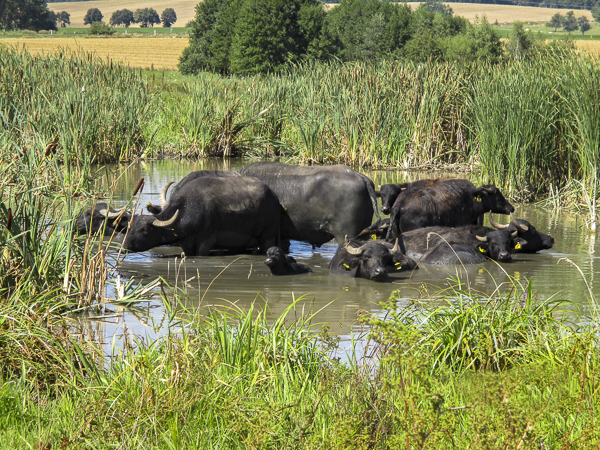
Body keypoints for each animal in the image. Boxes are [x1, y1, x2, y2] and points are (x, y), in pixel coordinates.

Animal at [123, 178, 282, 258]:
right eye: (132, 226)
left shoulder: (206, 243)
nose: (125, 245)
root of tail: (274, 198)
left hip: (267, 236)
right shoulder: (186, 244)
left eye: (144, 229)